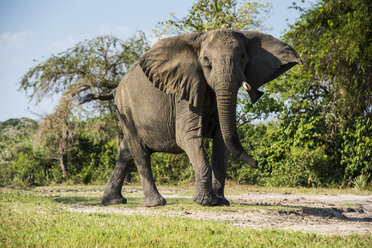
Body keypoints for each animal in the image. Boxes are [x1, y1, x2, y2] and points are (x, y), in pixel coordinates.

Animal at [83, 29, 300, 207]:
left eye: (243, 57)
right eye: (206, 61)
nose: (257, 163)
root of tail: (115, 89)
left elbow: (222, 141)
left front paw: (221, 202)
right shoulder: (184, 93)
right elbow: (187, 137)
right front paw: (206, 202)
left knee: (126, 151)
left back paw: (113, 201)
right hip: (126, 108)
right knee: (139, 151)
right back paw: (156, 203)